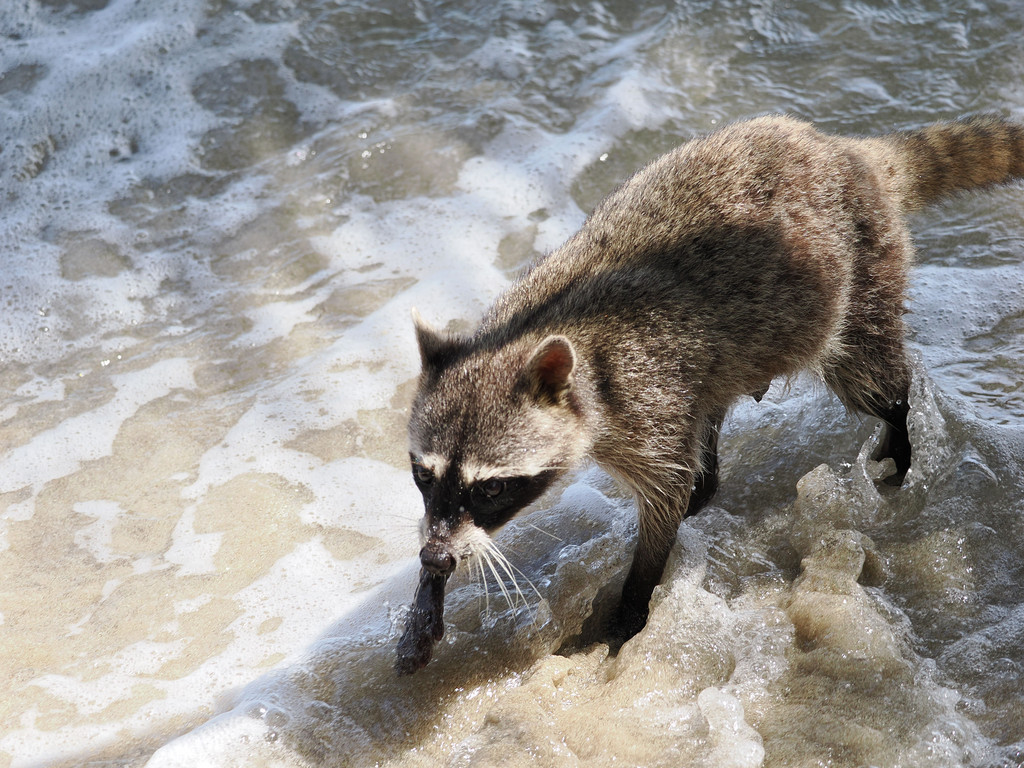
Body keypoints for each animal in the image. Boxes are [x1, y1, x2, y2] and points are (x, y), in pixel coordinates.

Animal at [397, 114, 1024, 671]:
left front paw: (633, 602)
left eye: (492, 488)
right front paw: (427, 595)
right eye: (424, 476)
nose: (435, 556)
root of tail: (846, 150)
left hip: (862, 273)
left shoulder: (646, 395)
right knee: (713, 402)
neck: (538, 337)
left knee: (871, 381)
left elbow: (664, 494)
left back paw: (899, 432)